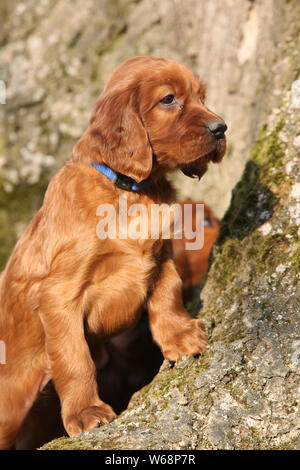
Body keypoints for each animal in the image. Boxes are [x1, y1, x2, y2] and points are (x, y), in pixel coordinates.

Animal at [0, 56, 225, 448]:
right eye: (168, 99)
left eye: (202, 96)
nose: (221, 128)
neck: (129, 190)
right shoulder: (58, 295)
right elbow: (74, 357)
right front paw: (85, 412)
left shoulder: (160, 256)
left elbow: (168, 296)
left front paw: (180, 337)